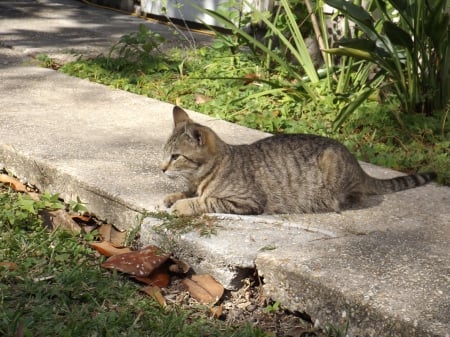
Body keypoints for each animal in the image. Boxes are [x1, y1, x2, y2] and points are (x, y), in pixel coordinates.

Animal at [159, 105, 436, 215]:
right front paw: (175, 196)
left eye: (176, 156)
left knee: (355, 195)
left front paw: (184, 205)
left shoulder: (247, 201)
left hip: (333, 165)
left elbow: (207, 200)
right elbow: (189, 192)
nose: (161, 168)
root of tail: (356, 163)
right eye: (165, 153)